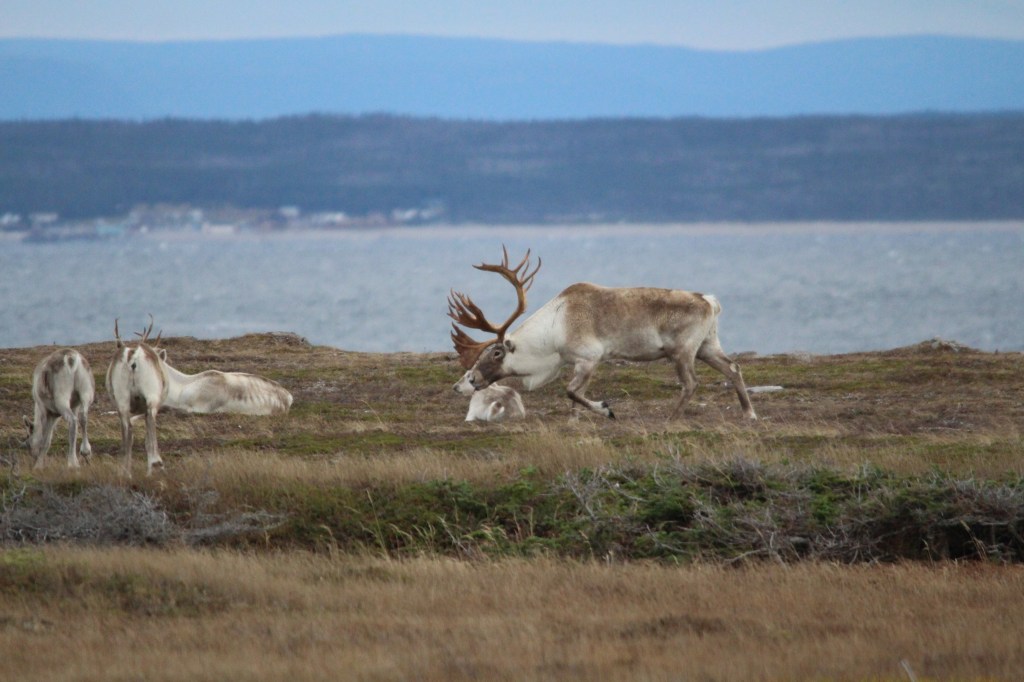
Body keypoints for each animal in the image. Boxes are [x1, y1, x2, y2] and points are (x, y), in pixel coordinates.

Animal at [448, 247, 757, 421]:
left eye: (497, 352)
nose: (472, 379)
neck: (554, 332)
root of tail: (710, 301)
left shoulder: (588, 358)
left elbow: (571, 391)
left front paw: (606, 410)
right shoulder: (579, 363)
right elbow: (575, 396)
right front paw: (574, 422)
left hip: (683, 350)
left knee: (691, 382)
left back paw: (673, 417)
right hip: (707, 345)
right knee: (734, 368)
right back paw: (748, 413)